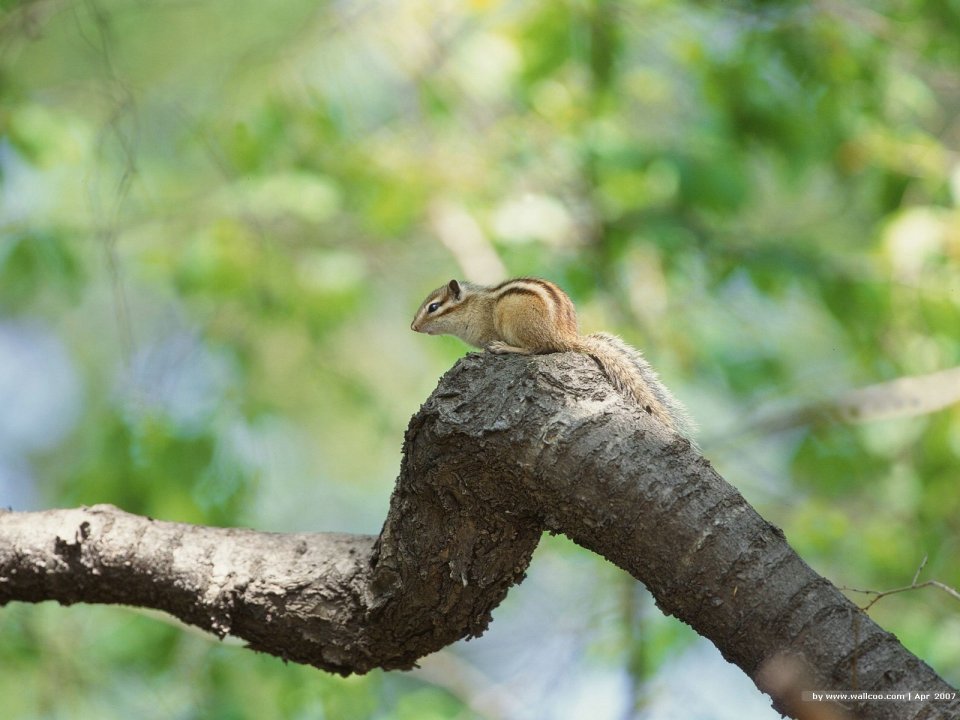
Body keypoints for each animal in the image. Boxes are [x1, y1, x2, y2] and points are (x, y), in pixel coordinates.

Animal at [411, 277, 694, 439]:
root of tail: (565, 337)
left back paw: (505, 348)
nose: (413, 327)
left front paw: (482, 351)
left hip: (515, 321)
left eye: (433, 307)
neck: (472, 306)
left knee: (535, 348)